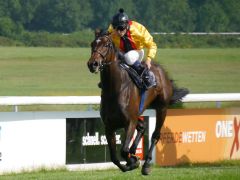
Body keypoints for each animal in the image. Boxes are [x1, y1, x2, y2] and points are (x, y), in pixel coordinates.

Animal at [87, 30, 188, 174]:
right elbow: (114, 157)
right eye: (92, 44)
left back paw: (146, 164)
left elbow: (123, 151)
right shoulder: (109, 126)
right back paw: (134, 151)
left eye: (106, 45)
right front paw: (131, 161)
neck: (114, 89)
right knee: (142, 126)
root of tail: (161, 71)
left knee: (155, 135)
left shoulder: (129, 121)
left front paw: (134, 161)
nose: (93, 64)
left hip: (162, 108)